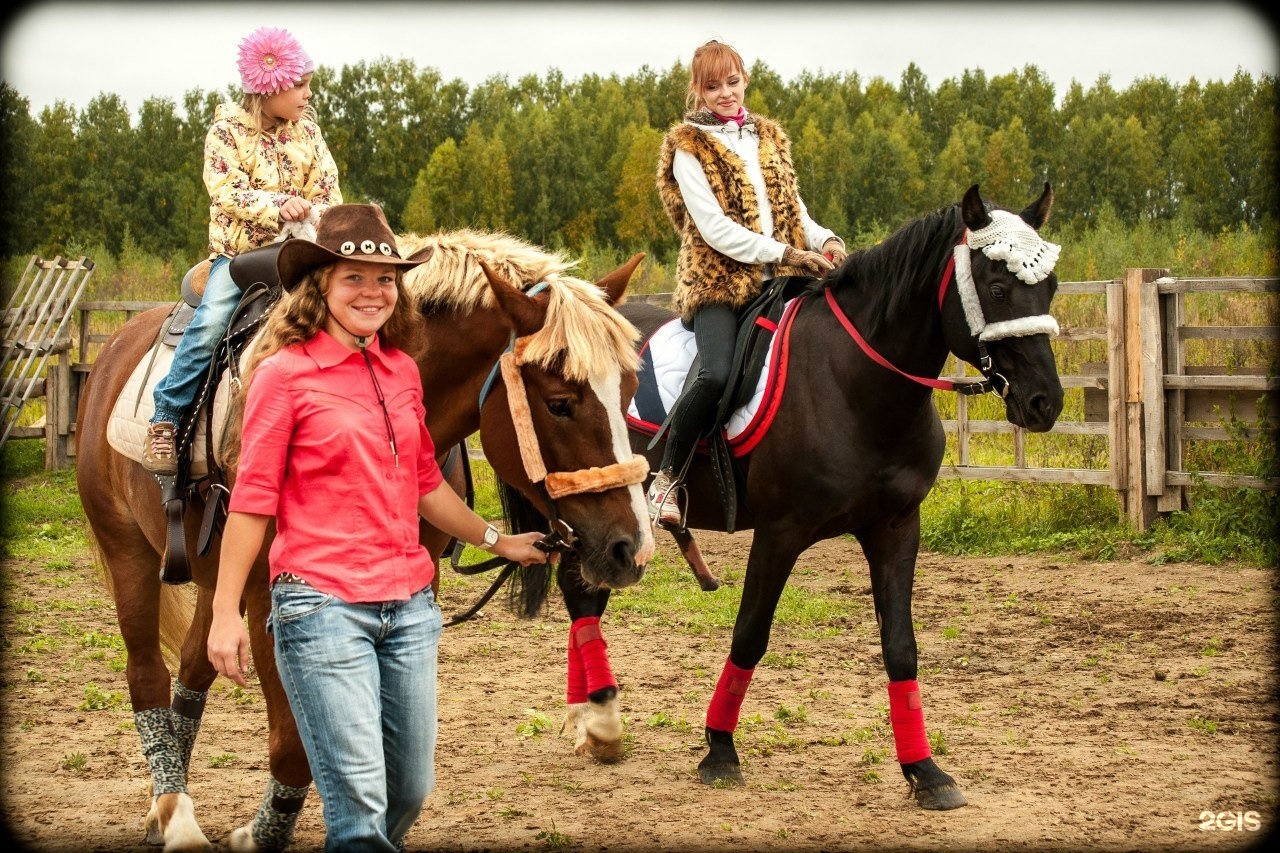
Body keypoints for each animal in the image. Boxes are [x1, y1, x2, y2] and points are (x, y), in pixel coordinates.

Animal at [73, 229, 650, 845]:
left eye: (630, 389)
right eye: (559, 403)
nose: (631, 547)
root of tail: (113, 349)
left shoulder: (411, 588)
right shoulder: (273, 602)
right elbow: (294, 746)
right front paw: (263, 833)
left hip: (216, 580)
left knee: (193, 666)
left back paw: (163, 812)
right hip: (129, 553)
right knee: (147, 676)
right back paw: (176, 816)